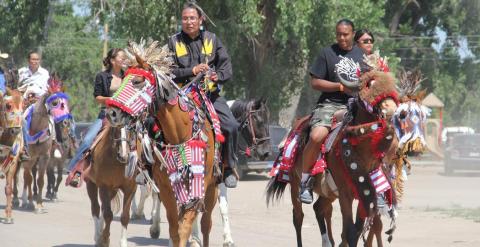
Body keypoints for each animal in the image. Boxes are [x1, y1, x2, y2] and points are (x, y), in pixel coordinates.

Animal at [266, 56, 398, 247]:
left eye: (393, 86)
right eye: (369, 84)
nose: (391, 110)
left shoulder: (364, 193)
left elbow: (356, 230)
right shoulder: (345, 194)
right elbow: (350, 232)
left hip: (328, 192)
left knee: (319, 208)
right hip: (295, 184)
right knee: (298, 217)